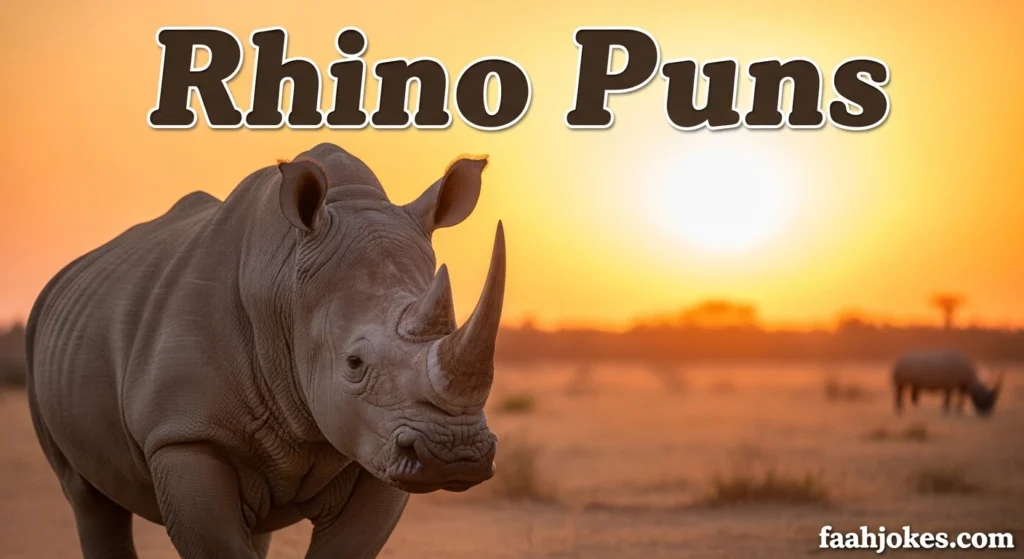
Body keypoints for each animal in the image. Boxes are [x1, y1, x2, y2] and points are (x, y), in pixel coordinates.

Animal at [25, 143, 507, 559]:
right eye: (354, 363)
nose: (455, 454)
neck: (284, 289)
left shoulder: (377, 443)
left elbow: (347, 546)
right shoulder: (184, 435)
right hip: (40, 336)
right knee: (87, 497)